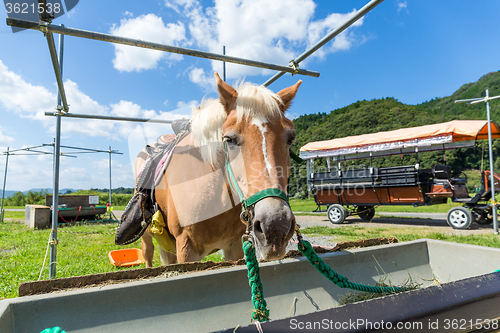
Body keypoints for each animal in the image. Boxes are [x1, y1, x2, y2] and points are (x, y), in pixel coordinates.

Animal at [136, 73, 300, 268]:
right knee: (148, 253)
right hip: (147, 236)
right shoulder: (186, 249)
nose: (275, 226)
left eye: (290, 138)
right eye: (229, 139)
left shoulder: (234, 247)